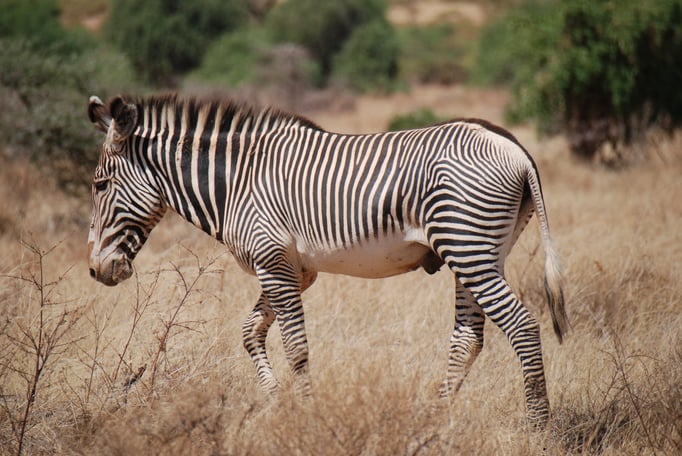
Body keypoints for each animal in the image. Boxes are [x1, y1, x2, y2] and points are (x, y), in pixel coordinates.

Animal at [87, 93, 568, 426]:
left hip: (469, 249)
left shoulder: (273, 262)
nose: (95, 271)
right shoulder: (295, 270)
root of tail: (514, 147)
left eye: (99, 185)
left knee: (523, 326)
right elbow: (250, 333)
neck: (236, 183)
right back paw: (433, 415)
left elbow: (296, 347)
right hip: (479, 252)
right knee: (468, 337)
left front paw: (307, 414)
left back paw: (538, 426)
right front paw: (278, 402)